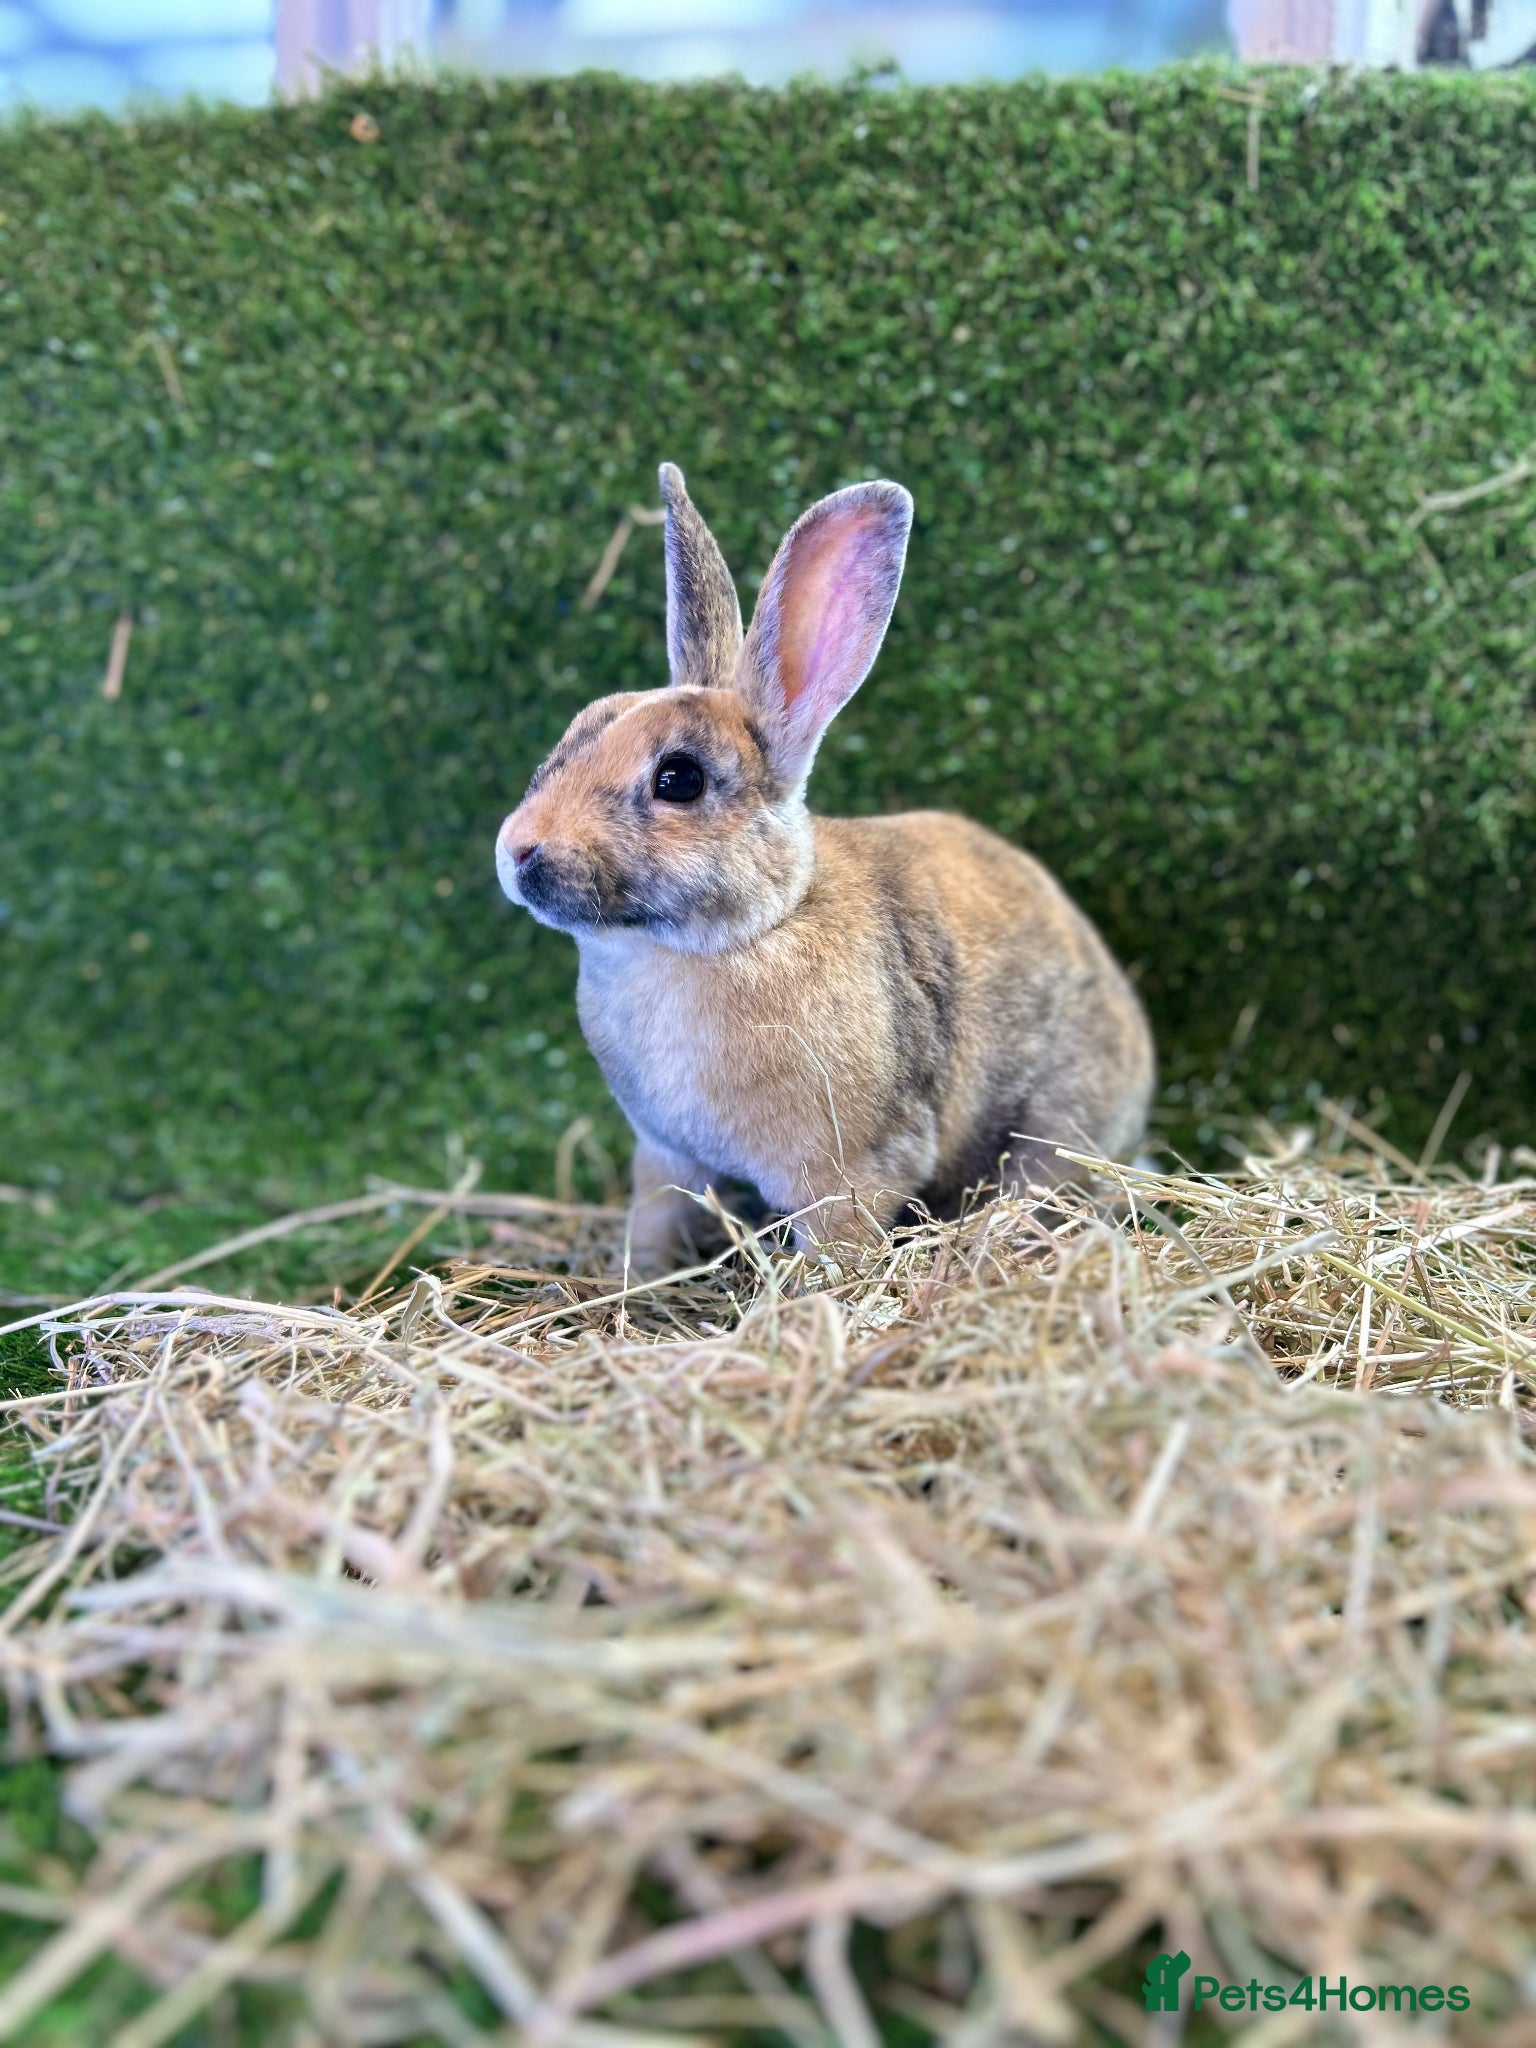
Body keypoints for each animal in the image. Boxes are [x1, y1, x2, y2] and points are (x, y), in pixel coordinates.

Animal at [496, 463, 1155, 1275]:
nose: (518, 848)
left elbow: (839, 1247)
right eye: (582, 723)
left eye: (679, 779)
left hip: (1052, 1130)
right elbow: (654, 1220)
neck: (738, 934)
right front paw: (639, 1280)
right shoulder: (663, 1155)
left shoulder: (844, 1173)